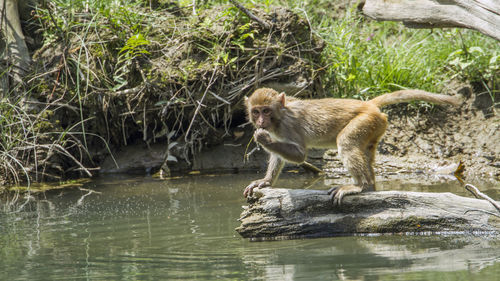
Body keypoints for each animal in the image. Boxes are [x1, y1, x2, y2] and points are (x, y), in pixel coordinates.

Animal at [242, 87, 460, 203]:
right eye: (256, 111)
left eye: (266, 111)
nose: (260, 121)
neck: (279, 117)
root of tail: (368, 104)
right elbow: (279, 156)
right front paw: (266, 182)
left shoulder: (288, 126)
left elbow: (299, 155)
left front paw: (263, 139)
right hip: (374, 126)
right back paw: (370, 187)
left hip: (365, 120)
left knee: (345, 143)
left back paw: (360, 186)